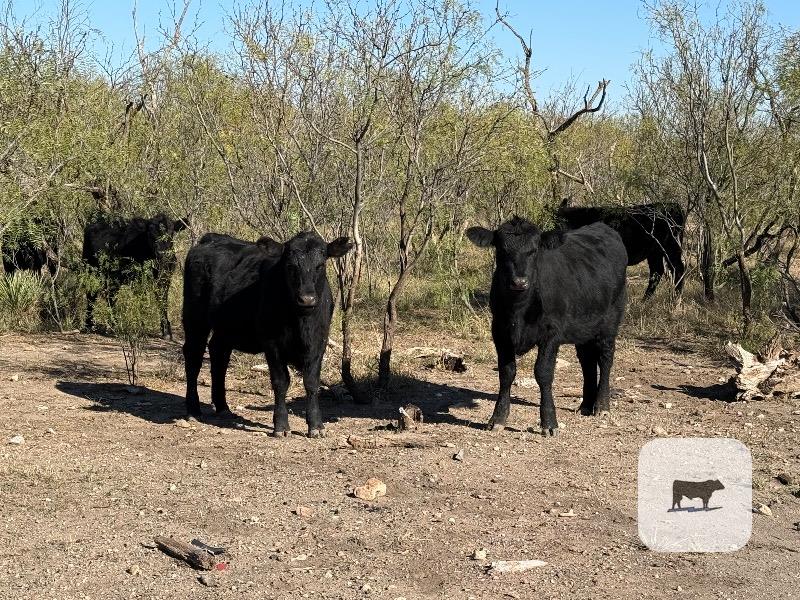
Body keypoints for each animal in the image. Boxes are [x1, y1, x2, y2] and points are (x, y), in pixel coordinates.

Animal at [181, 231, 352, 438]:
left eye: (321, 265)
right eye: (290, 266)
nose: (307, 299)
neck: (301, 322)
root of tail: (211, 239)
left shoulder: (319, 342)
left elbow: (312, 382)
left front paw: (316, 425)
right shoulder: (272, 344)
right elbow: (281, 382)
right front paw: (281, 425)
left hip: (225, 326)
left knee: (218, 355)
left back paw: (223, 407)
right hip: (194, 317)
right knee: (194, 356)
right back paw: (193, 410)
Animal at [467, 216, 627, 436]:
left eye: (534, 250)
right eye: (501, 250)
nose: (519, 282)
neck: (519, 310)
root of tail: (603, 227)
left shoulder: (551, 334)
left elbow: (543, 373)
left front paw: (549, 423)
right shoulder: (499, 331)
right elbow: (506, 373)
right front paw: (497, 418)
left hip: (610, 322)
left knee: (605, 359)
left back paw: (601, 406)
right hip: (584, 327)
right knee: (587, 361)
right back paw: (586, 405)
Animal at [555, 200, 685, 299]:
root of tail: (675, 206)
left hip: (671, 247)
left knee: (678, 269)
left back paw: (675, 298)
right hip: (655, 252)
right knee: (657, 272)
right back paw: (645, 300)